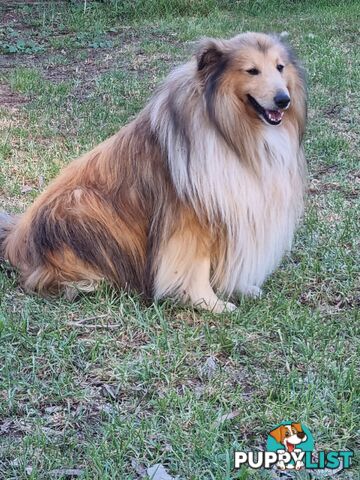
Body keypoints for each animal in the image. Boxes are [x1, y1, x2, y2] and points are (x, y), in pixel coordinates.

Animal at [0, 31, 306, 314]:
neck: (228, 131)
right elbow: (196, 266)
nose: (283, 100)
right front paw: (210, 303)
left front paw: (244, 289)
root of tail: (15, 238)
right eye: (252, 70)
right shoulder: (190, 220)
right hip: (82, 203)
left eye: (280, 67)